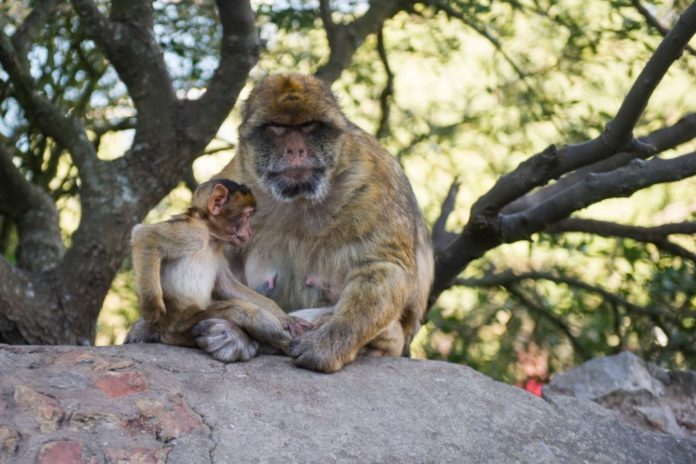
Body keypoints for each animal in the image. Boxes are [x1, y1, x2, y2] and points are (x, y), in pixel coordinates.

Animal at [129, 178, 311, 362]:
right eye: (246, 215)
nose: (249, 232)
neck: (210, 235)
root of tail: (165, 333)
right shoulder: (194, 233)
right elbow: (145, 236)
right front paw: (151, 310)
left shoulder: (219, 250)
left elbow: (226, 286)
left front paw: (285, 317)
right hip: (184, 326)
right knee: (244, 312)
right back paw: (289, 346)